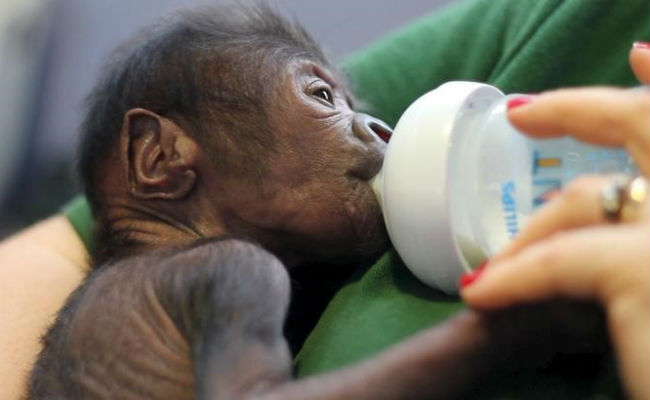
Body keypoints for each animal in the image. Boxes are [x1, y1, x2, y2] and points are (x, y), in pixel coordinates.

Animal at [27, 5, 613, 399]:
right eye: (324, 97)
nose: (383, 128)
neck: (162, 240)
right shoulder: (237, 269)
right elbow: (255, 393)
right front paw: (540, 313)